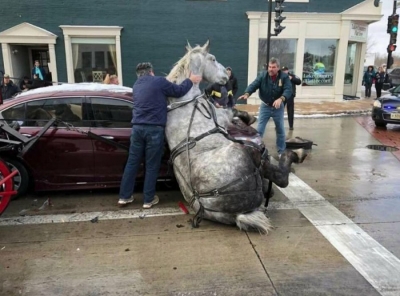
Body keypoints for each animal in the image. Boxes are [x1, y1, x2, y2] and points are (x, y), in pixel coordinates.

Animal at [164, 41, 304, 234]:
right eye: (213, 58)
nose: (226, 75)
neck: (184, 99)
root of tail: (237, 215)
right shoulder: (223, 115)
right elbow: (233, 109)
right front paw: (248, 117)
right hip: (248, 152)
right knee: (280, 177)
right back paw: (296, 154)